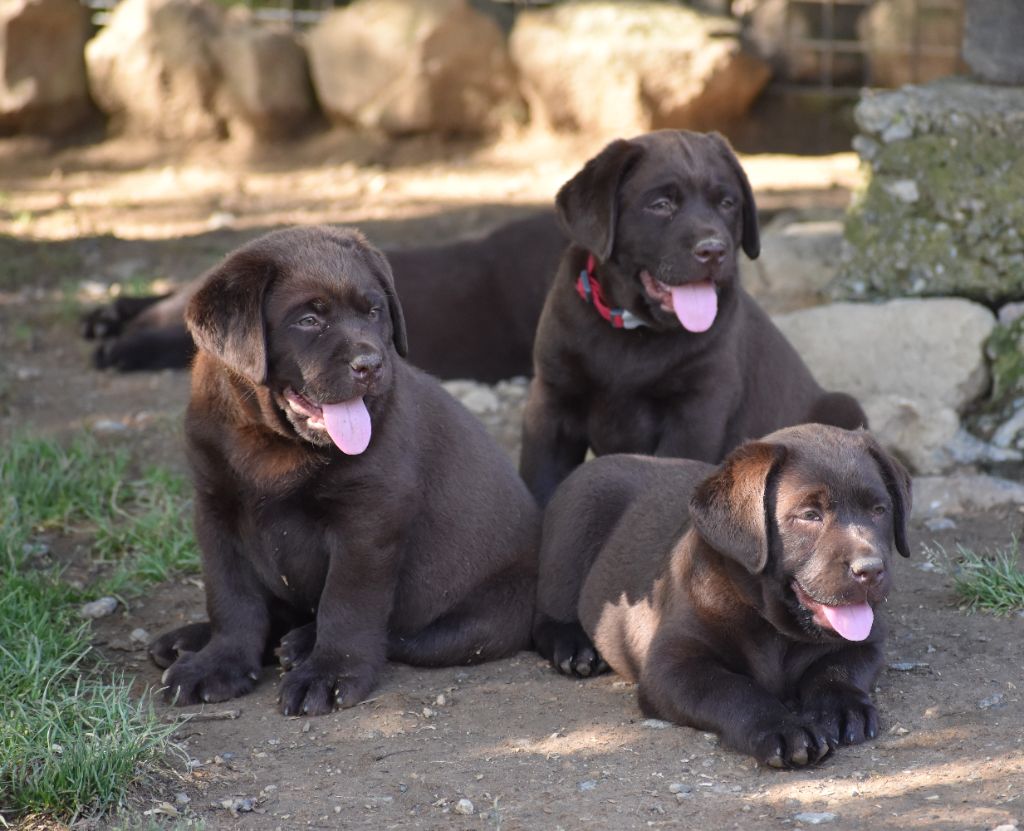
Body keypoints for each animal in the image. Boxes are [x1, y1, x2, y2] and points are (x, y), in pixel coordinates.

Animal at [149, 225, 544, 712]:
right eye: (308, 320)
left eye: (374, 312)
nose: (371, 365)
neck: (275, 442)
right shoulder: (215, 508)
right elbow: (230, 596)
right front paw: (219, 662)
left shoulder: (367, 520)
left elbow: (347, 602)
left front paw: (330, 672)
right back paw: (190, 640)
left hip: (474, 624)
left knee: (399, 634)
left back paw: (301, 645)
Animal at [520, 130, 864, 505]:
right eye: (661, 205)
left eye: (727, 203)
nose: (713, 250)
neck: (634, 332)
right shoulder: (552, 401)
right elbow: (539, 481)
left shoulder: (697, 410)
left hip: (843, 407)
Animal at [532, 425, 909, 769]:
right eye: (809, 515)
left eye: (879, 510)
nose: (870, 570)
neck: (772, 625)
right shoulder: (672, 666)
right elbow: (735, 690)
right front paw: (786, 728)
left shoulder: (868, 642)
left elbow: (839, 669)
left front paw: (844, 707)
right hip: (573, 531)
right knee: (546, 615)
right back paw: (575, 648)